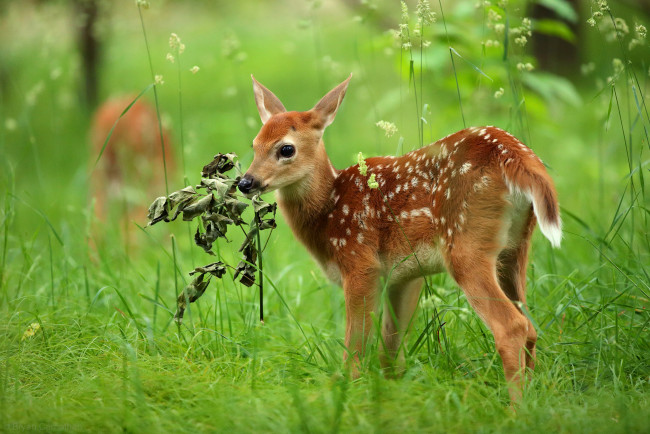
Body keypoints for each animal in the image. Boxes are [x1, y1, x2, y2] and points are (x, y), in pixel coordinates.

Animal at [235, 73, 560, 400]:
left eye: (286, 149)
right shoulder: (403, 275)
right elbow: (390, 350)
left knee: (512, 326)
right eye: (254, 145)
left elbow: (356, 347)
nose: (245, 182)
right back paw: (533, 397)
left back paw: (515, 406)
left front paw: (347, 392)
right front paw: (392, 394)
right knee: (530, 326)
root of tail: (514, 154)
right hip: (515, 247)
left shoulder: (360, 262)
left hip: (465, 243)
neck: (329, 210)